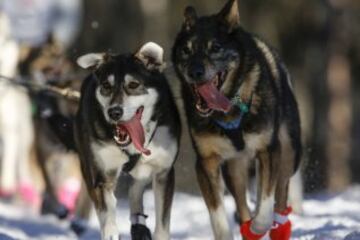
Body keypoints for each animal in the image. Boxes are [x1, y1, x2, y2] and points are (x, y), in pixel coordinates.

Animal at [75, 42, 181, 239]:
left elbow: (162, 224)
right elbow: (107, 213)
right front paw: (111, 232)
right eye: (106, 86)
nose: (114, 112)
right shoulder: (103, 174)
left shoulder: (163, 172)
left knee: (135, 189)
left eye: (133, 84)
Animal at [173, 0, 302, 239]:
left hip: (289, 150)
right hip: (235, 166)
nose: (195, 72)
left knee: (280, 191)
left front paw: (259, 225)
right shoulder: (207, 161)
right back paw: (247, 226)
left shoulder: (269, 149)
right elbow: (217, 213)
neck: (228, 108)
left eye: (215, 47)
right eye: (186, 50)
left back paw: (276, 225)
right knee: (242, 203)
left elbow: (266, 203)